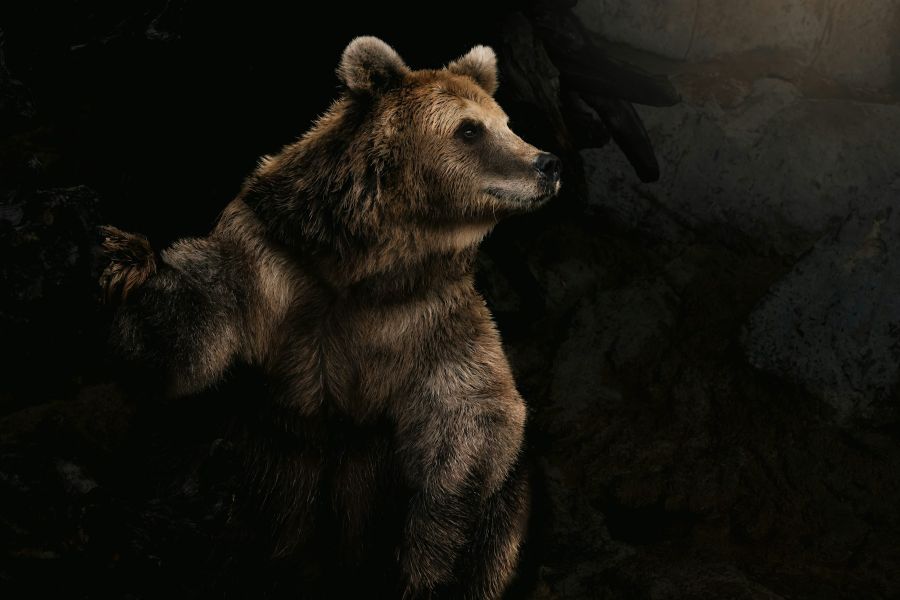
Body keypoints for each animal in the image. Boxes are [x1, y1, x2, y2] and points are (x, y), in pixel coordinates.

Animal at [100, 37, 561, 599]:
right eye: (470, 128)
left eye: (507, 122)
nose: (547, 163)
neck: (365, 268)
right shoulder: (270, 266)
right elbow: (191, 338)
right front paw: (125, 261)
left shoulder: (431, 318)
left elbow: (475, 416)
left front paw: (431, 562)